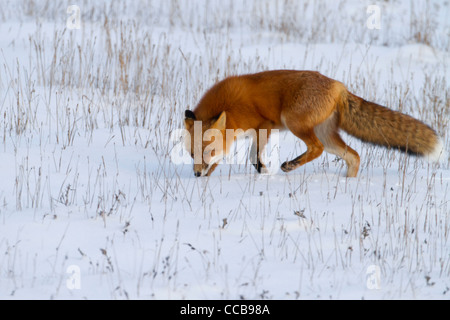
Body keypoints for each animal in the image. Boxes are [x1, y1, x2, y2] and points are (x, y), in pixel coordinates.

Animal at [185, 69, 444, 178]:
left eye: (208, 151)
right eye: (191, 154)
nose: (196, 175)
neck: (229, 106)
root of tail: (339, 86)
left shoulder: (264, 126)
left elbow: (251, 156)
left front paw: (264, 172)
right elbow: (235, 158)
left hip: (295, 123)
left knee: (316, 149)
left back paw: (290, 165)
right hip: (328, 136)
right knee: (354, 156)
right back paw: (349, 183)